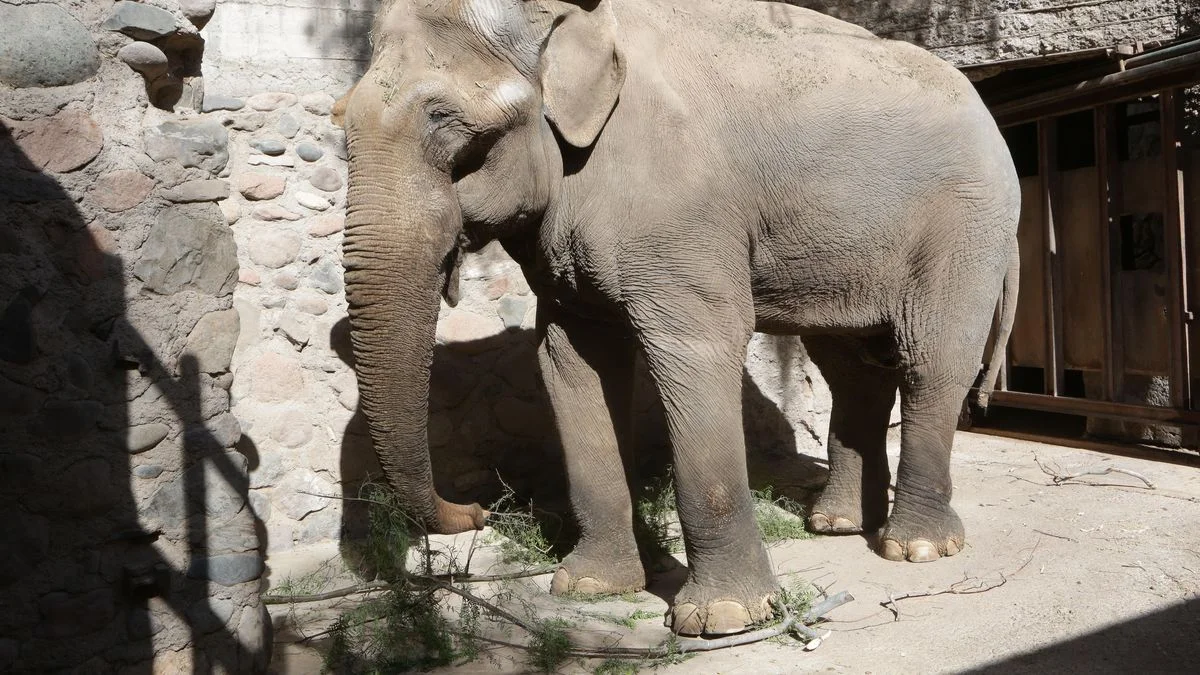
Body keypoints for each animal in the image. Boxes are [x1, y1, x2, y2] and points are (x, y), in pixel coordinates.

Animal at [338, 0, 1020, 636]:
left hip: (966, 223)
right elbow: (571, 363)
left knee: (931, 359)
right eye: (341, 120)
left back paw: (915, 547)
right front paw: (589, 587)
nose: (480, 512)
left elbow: (695, 349)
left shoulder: (679, 210)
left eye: (445, 121)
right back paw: (837, 523)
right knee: (852, 369)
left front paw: (723, 618)